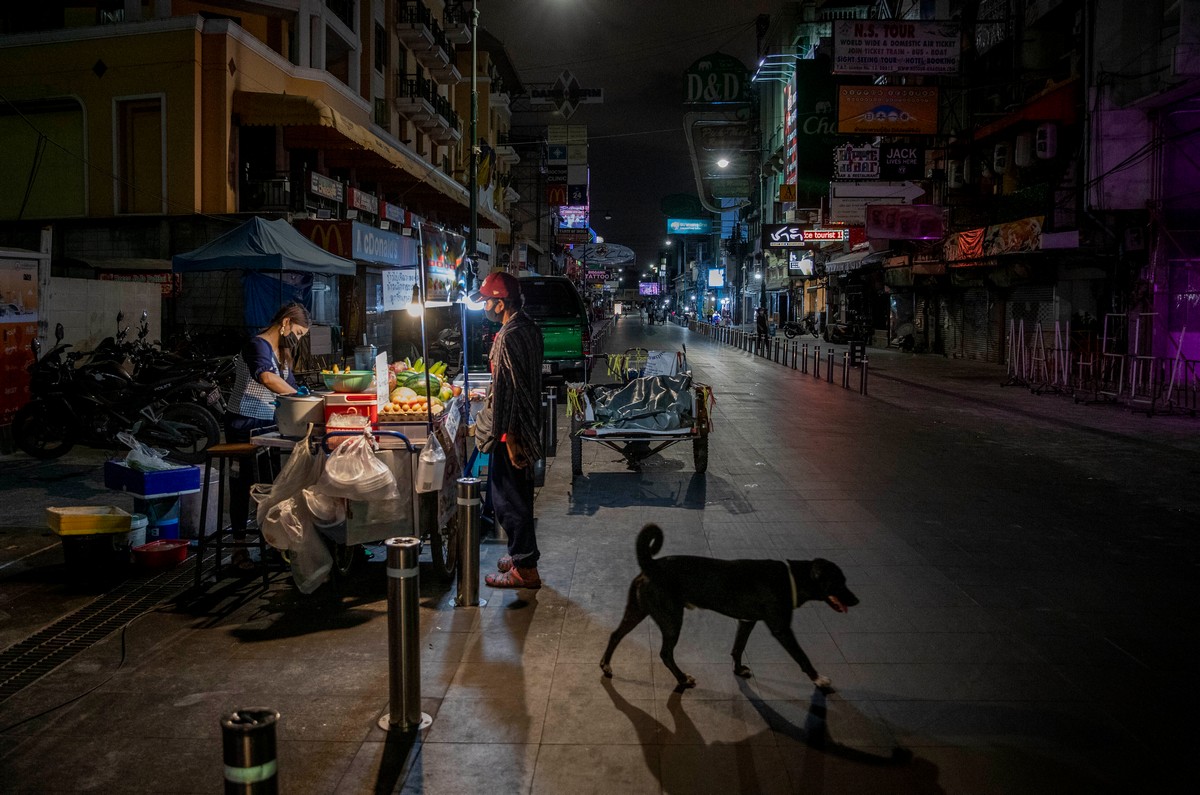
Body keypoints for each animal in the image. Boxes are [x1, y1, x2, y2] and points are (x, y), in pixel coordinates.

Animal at [604, 523, 859, 691]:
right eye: (839, 582)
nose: (857, 600)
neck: (790, 579)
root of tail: (651, 564)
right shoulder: (781, 629)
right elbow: (801, 656)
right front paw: (818, 679)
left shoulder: (747, 621)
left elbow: (738, 647)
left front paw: (738, 670)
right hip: (672, 620)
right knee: (665, 654)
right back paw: (682, 679)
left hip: (638, 610)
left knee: (615, 634)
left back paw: (605, 666)